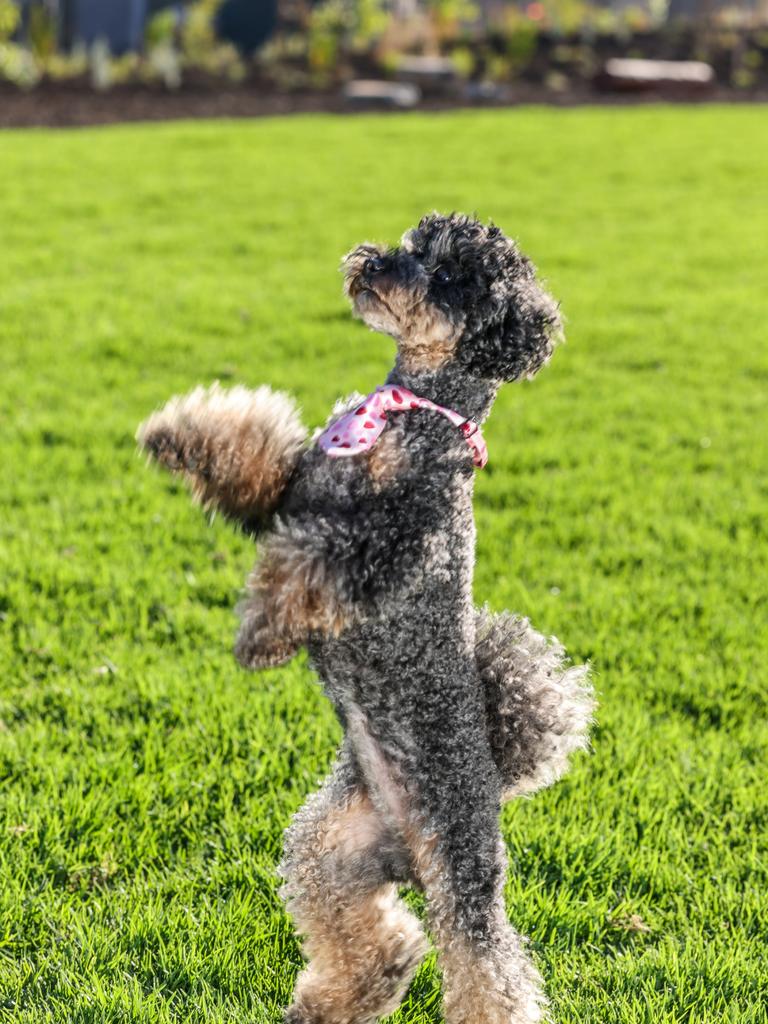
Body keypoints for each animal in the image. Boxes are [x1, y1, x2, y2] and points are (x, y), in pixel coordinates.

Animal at [138, 211, 593, 1024]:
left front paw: (262, 633)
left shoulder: (390, 544)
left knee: (488, 970)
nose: (376, 262)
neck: (411, 411)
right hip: (331, 850)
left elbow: (312, 564)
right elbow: (250, 449)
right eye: (417, 243)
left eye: (452, 277)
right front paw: (177, 432)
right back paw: (325, 1006)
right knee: (385, 944)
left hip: (460, 870)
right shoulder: (294, 486)